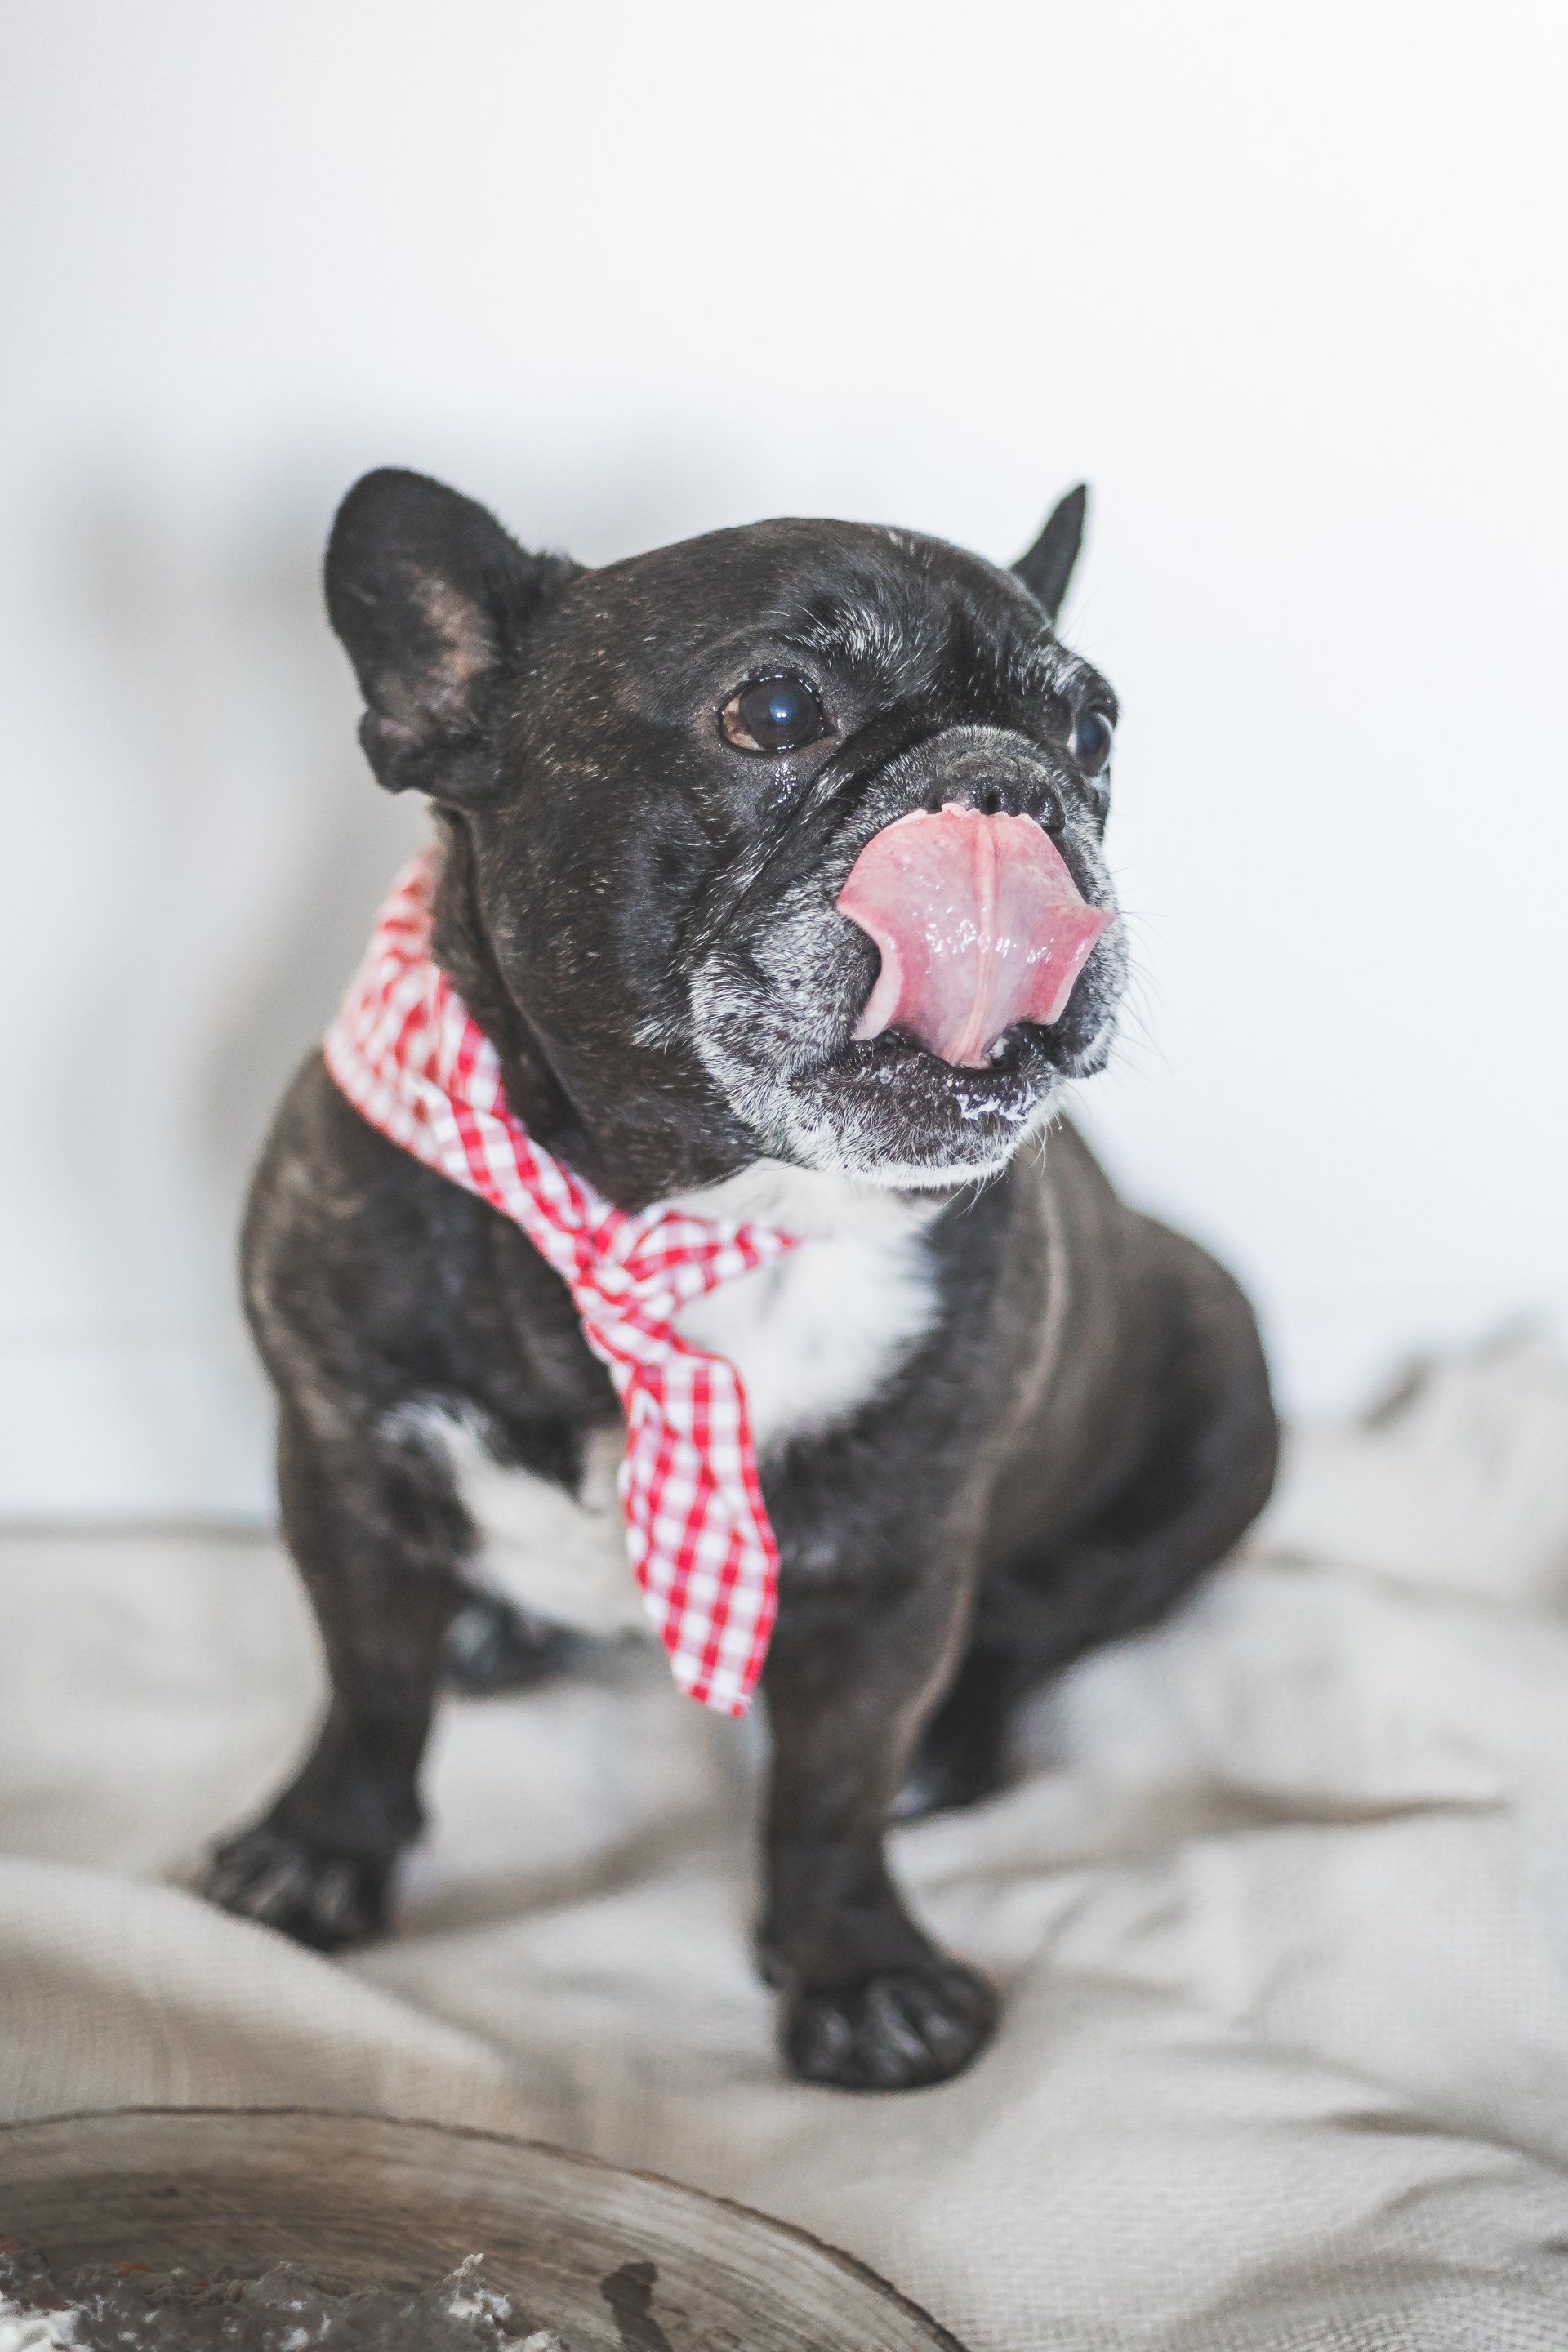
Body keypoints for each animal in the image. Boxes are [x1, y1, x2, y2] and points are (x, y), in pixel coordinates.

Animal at [202, 469, 1278, 2091]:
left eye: (1093, 734)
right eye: (774, 710)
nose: (1009, 783)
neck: (681, 1212)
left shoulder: (893, 1570)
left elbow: (832, 1789)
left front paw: (860, 1973)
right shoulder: (341, 1468)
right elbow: (368, 1694)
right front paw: (320, 1854)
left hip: (1212, 1404)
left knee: (1040, 1626)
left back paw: (953, 1750)